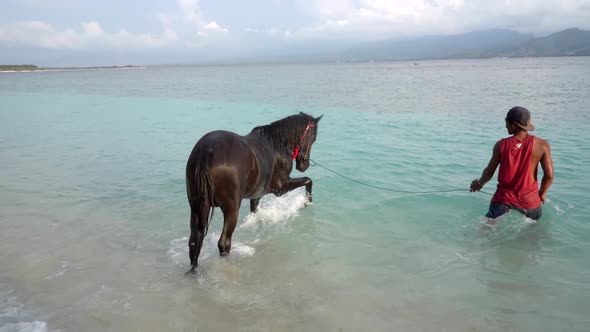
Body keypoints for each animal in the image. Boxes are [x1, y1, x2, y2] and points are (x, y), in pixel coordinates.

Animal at [185, 113, 324, 272]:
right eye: (313, 138)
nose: (304, 165)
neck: (278, 145)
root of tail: (207, 151)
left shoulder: (256, 195)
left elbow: (256, 213)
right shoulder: (281, 188)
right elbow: (308, 181)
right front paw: (307, 201)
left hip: (196, 207)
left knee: (194, 242)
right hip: (231, 209)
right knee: (224, 242)